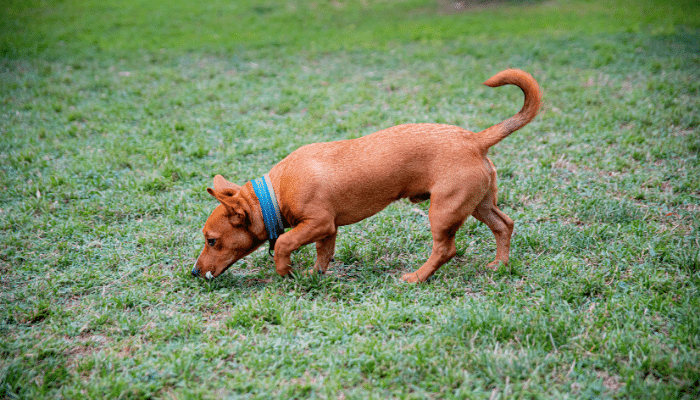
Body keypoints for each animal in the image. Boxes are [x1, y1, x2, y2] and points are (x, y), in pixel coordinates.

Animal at [191, 68, 540, 282]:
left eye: (212, 241)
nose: (194, 272)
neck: (273, 195)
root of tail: (474, 139)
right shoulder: (327, 230)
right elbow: (323, 255)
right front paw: (314, 276)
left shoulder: (318, 222)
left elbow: (285, 243)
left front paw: (284, 268)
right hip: (479, 204)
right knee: (504, 225)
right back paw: (499, 265)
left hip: (443, 211)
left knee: (446, 250)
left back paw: (416, 278)